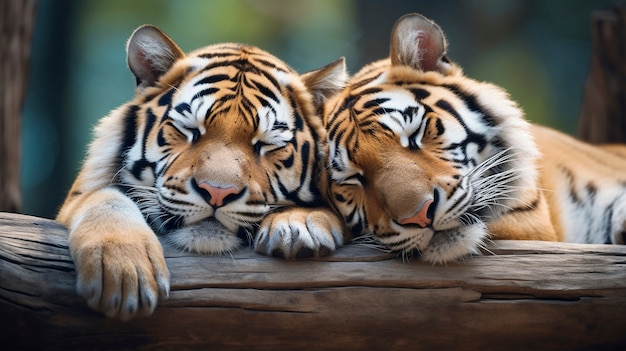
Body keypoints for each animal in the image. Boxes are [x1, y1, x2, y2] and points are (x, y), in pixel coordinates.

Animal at [56, 25, 348, 322]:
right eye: (190, 130)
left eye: (266, 144)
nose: (217, 192)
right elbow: (103, 198)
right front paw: (124, 272)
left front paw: (299, 223)